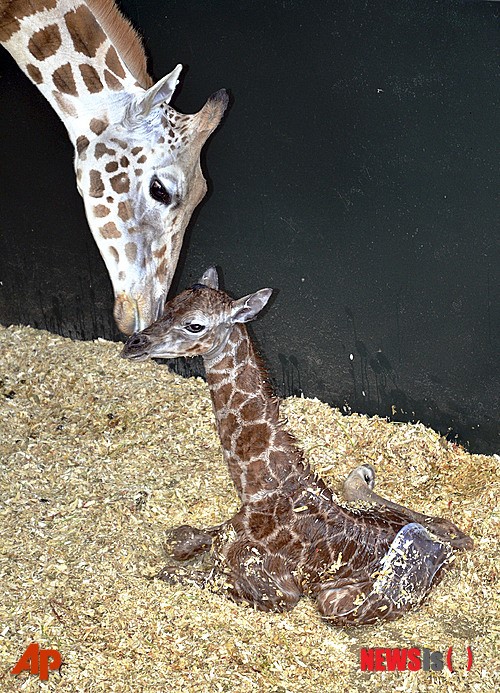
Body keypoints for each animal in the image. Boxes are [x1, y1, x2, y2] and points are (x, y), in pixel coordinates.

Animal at [122, 268, 472, 624]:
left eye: (195, 325)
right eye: (168, 306)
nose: (133, 344)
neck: (259, 490)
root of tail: (451, 550)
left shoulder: (278, 591)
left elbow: (178, 573)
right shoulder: (222, 530)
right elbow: (177, 540)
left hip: (335, 601)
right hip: (396, 512)